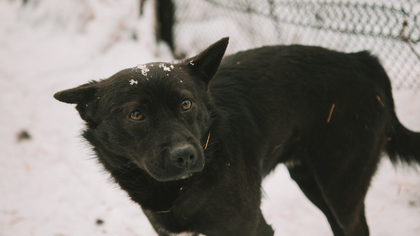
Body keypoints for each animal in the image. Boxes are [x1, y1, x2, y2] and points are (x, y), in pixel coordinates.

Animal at [55, 37, 420, 235]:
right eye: (136, 114)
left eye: (186, 103)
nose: (185, 155)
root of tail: (364, 60)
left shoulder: (251, 228)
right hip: (312, 182)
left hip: (341, 187)